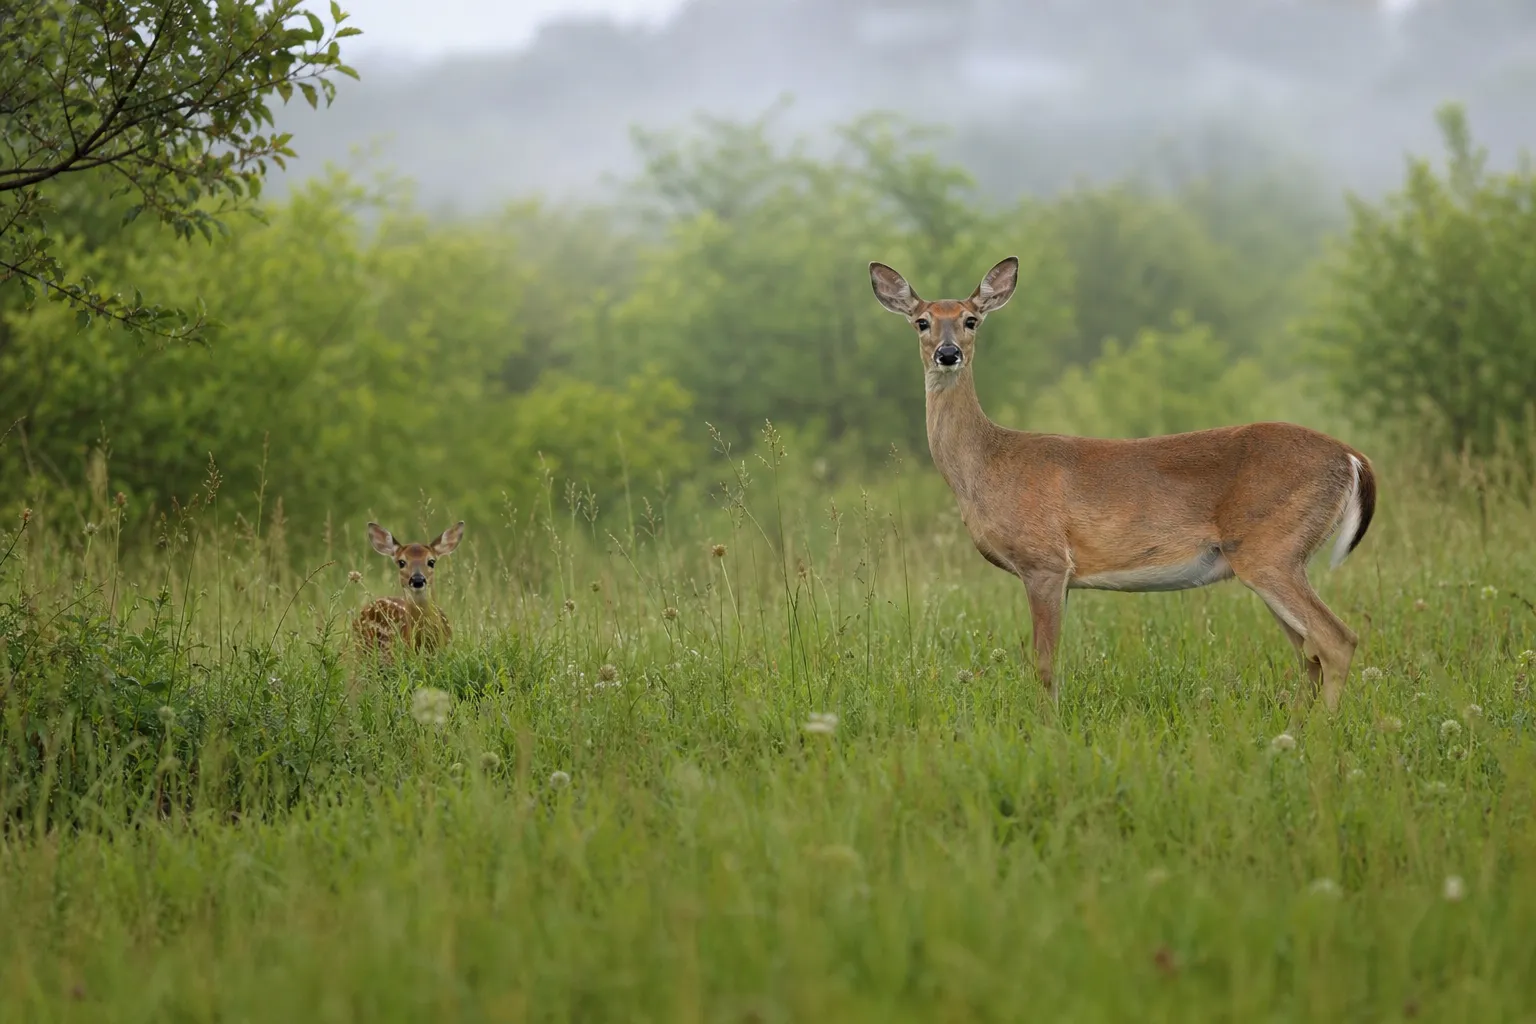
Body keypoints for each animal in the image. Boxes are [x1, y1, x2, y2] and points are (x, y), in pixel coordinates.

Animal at [869, 256, 1376, 713]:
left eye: (970, 319)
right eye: (922, 322)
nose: (947, 354)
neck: (988, 464)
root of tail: (1353, 458)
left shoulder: (1045, 561)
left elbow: (1045, 664)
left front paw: (1049, 729)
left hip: (1272, 548)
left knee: (1336, 640)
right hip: (1275, 557)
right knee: (1309, 653)